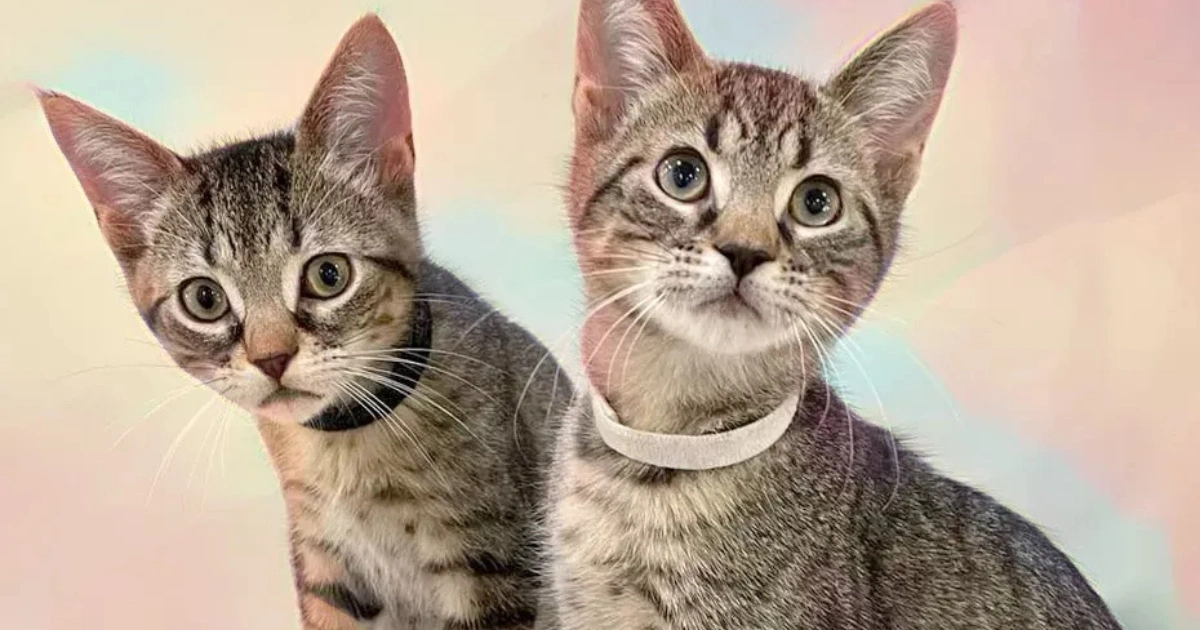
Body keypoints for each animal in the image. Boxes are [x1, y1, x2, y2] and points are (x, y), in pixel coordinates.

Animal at [36, 15, 571, 630]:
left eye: (328, 274)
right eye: (204, 299)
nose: (272, 358)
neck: (349, 452)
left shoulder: (495, 564)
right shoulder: (325, 571)